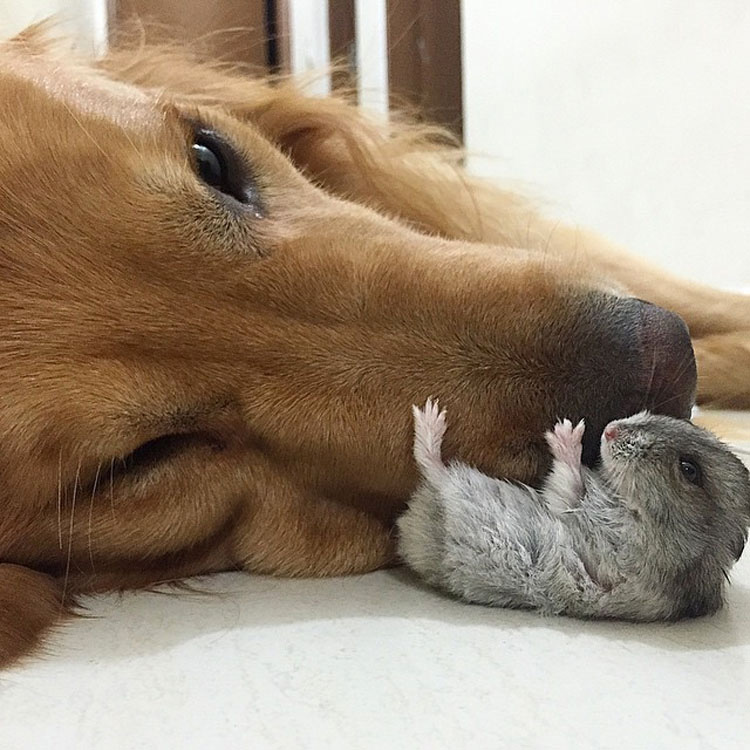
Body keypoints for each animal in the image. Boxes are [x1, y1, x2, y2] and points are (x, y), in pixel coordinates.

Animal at [402, 400, 750, 624]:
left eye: (689, 469)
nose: (610, 430)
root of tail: (412, 530)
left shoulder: (603, 533)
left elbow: (569, 485)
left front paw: (567, 432)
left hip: (460, 491)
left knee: (431, 467)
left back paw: (430, 417)